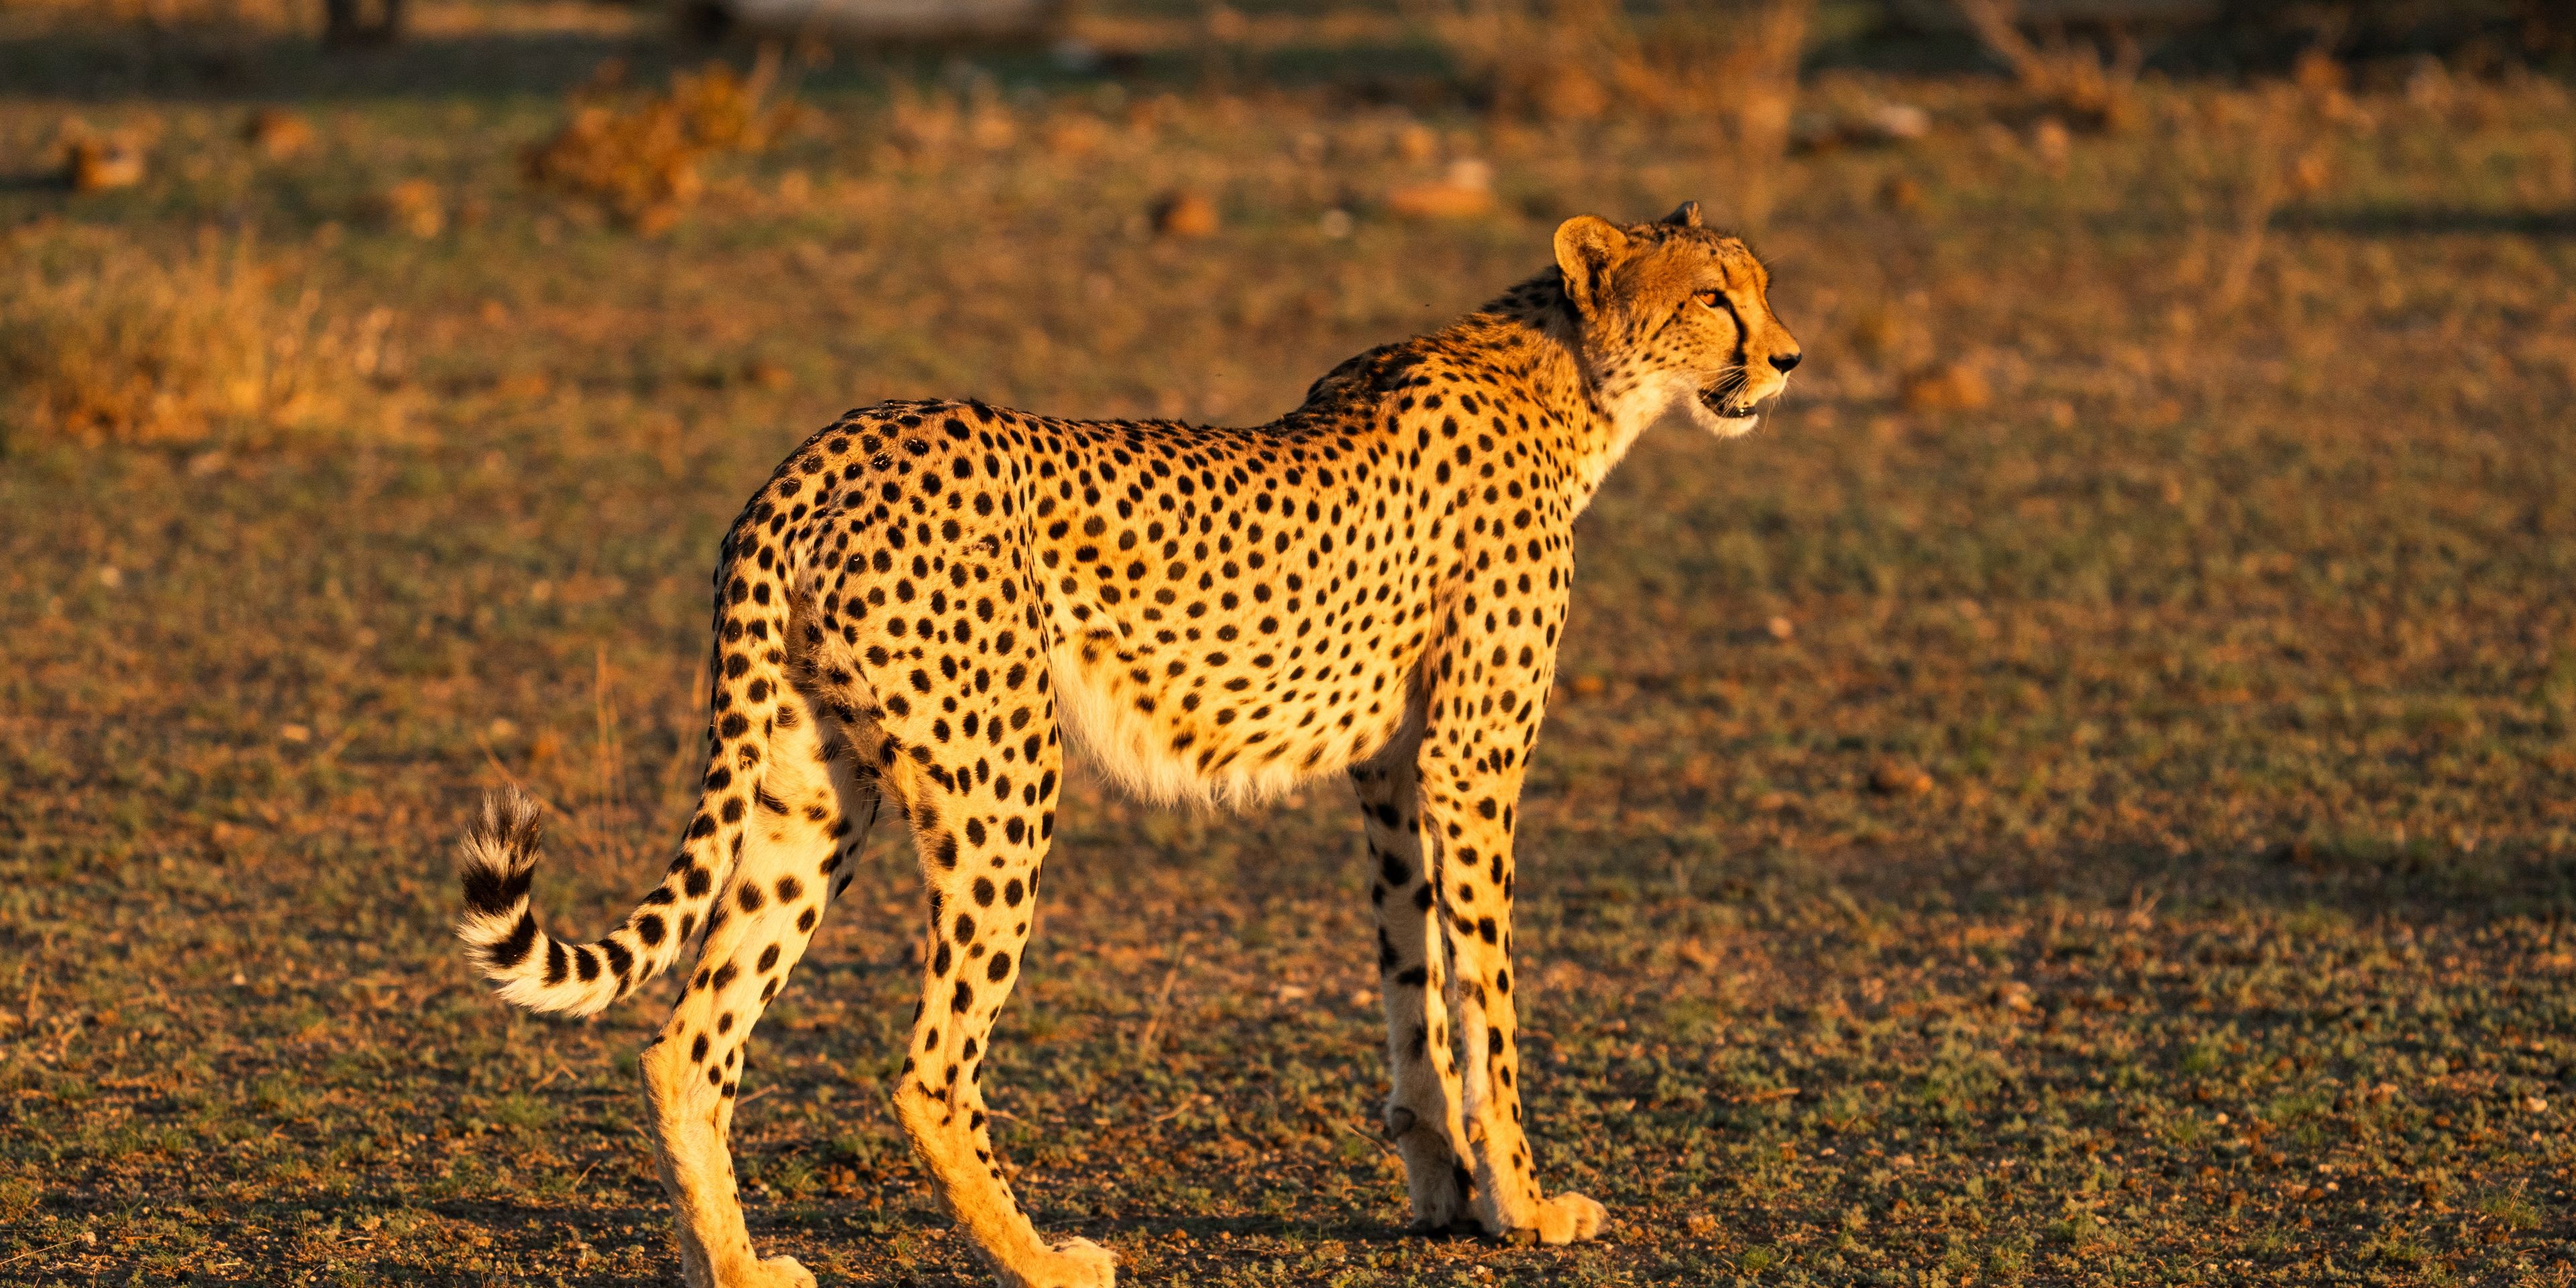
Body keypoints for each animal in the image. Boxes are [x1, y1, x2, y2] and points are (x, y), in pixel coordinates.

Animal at [454, 201, 1801, 1288]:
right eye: (1711, 297)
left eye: (1763, 283)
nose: (1787, 360)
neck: (1575, 380)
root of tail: (824, 453)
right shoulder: (1472, 761)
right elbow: (1490, 999)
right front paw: (1524, 1201)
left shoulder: (1390, 773)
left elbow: (1412, 980)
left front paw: (1445, 1193)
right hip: (1004, 777)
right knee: (930, 1069)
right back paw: (1044, 1261)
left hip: (809, 789)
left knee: (689, 1043)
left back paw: (734, 1264)